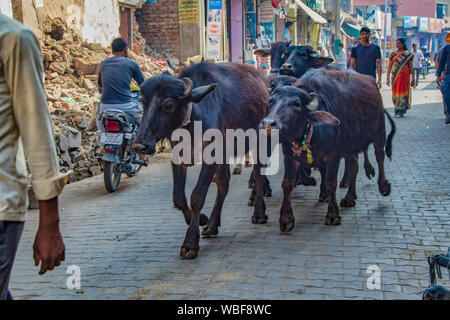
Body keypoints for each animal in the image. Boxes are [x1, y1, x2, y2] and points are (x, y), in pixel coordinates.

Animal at [135, 61, 268, 258]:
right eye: (143, 102)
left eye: (169, 104)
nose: (140, 145)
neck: (192, 123)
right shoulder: (179, 159)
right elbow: (178, 197)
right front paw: (202, 219)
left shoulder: (210, 157)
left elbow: (197, 196)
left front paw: (190, 242)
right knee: (223, 183)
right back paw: (212, 224)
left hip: (258, 140)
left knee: (258, 174)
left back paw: (259, 213)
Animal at [260, 65, 394, 230]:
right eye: (271, 101)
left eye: (296, 103)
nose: (268, 123)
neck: (311, 132)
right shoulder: (290, 156)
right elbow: (287, 184)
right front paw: (286, 218)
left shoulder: (333, 156)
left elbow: (331, 183)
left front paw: (333, 214)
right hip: (350, 146)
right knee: (354, 166)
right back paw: (350, 197)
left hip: (379, 133)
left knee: (380, 156)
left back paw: (384, 187)